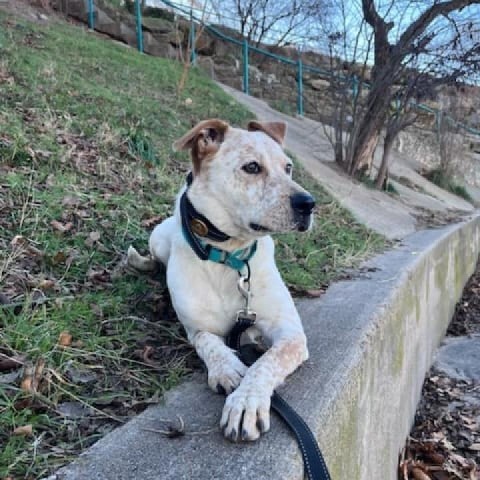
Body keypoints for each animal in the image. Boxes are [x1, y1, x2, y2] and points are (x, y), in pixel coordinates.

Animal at [127, 120, 316, 442]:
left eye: (288, 167)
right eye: (252, 167)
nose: (309, 204)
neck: (230, 257)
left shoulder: (291, 333)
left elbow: (266, 363)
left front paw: (246, 402)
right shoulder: (197, 329)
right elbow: (210, 344)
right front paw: (227, 368)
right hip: (158, 236)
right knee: (154, 255)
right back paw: (144, 263)